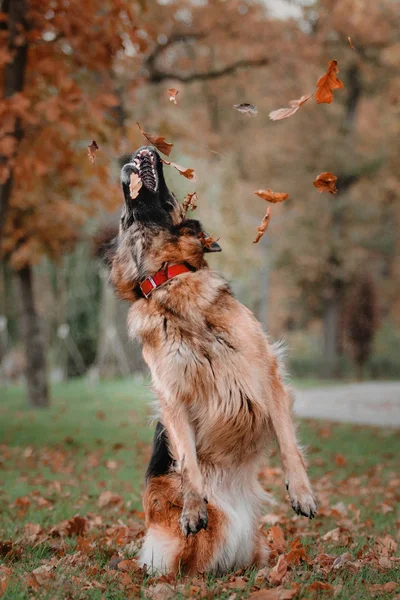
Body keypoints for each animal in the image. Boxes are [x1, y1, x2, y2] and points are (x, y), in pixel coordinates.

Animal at [108, 145, 318, 576]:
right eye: (123, 215)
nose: (144, 148)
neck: (168, 280)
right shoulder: (172, 396)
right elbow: (188, 462)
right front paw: (192, 507)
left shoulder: (266, 372)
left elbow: (288, 441)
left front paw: (302, 492)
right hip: (195, 542)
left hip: (256, 543)